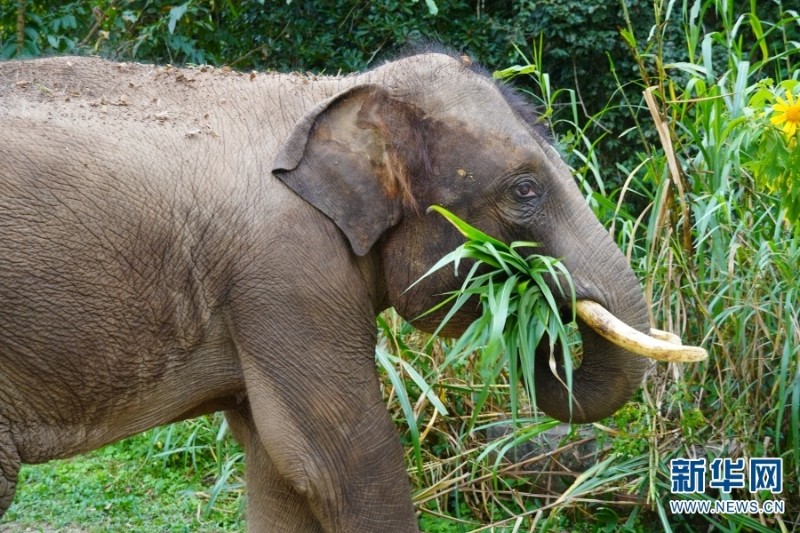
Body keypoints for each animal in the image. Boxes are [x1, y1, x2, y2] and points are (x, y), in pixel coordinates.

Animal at [0, 52, 700, 528]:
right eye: (524, 190)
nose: (542, 309)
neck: (331, 92)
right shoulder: (288, 271)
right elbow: (340, 461)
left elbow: (279, 469)